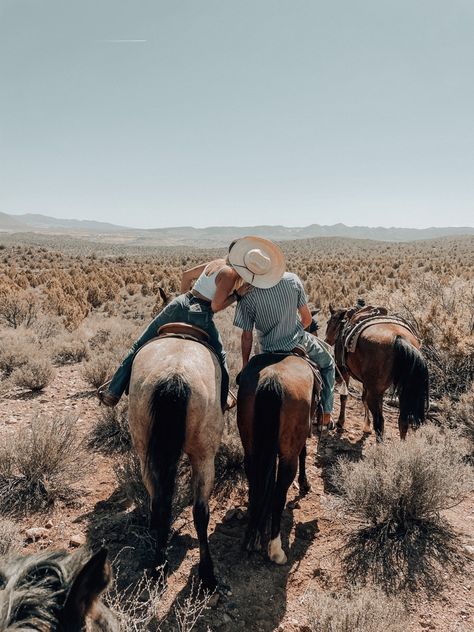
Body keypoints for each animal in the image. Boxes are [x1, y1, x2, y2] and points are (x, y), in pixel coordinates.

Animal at [326, 304, 430, 440]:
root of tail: (400, 338)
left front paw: (340, 422)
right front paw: (366, 426)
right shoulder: (368, 384)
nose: (326, 340)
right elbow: (362, 398)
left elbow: (344, 396)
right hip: (400, 391)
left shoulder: (344, 371)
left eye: (329, 321)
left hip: (375, 392)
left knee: (380, 421)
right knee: (402, 421)